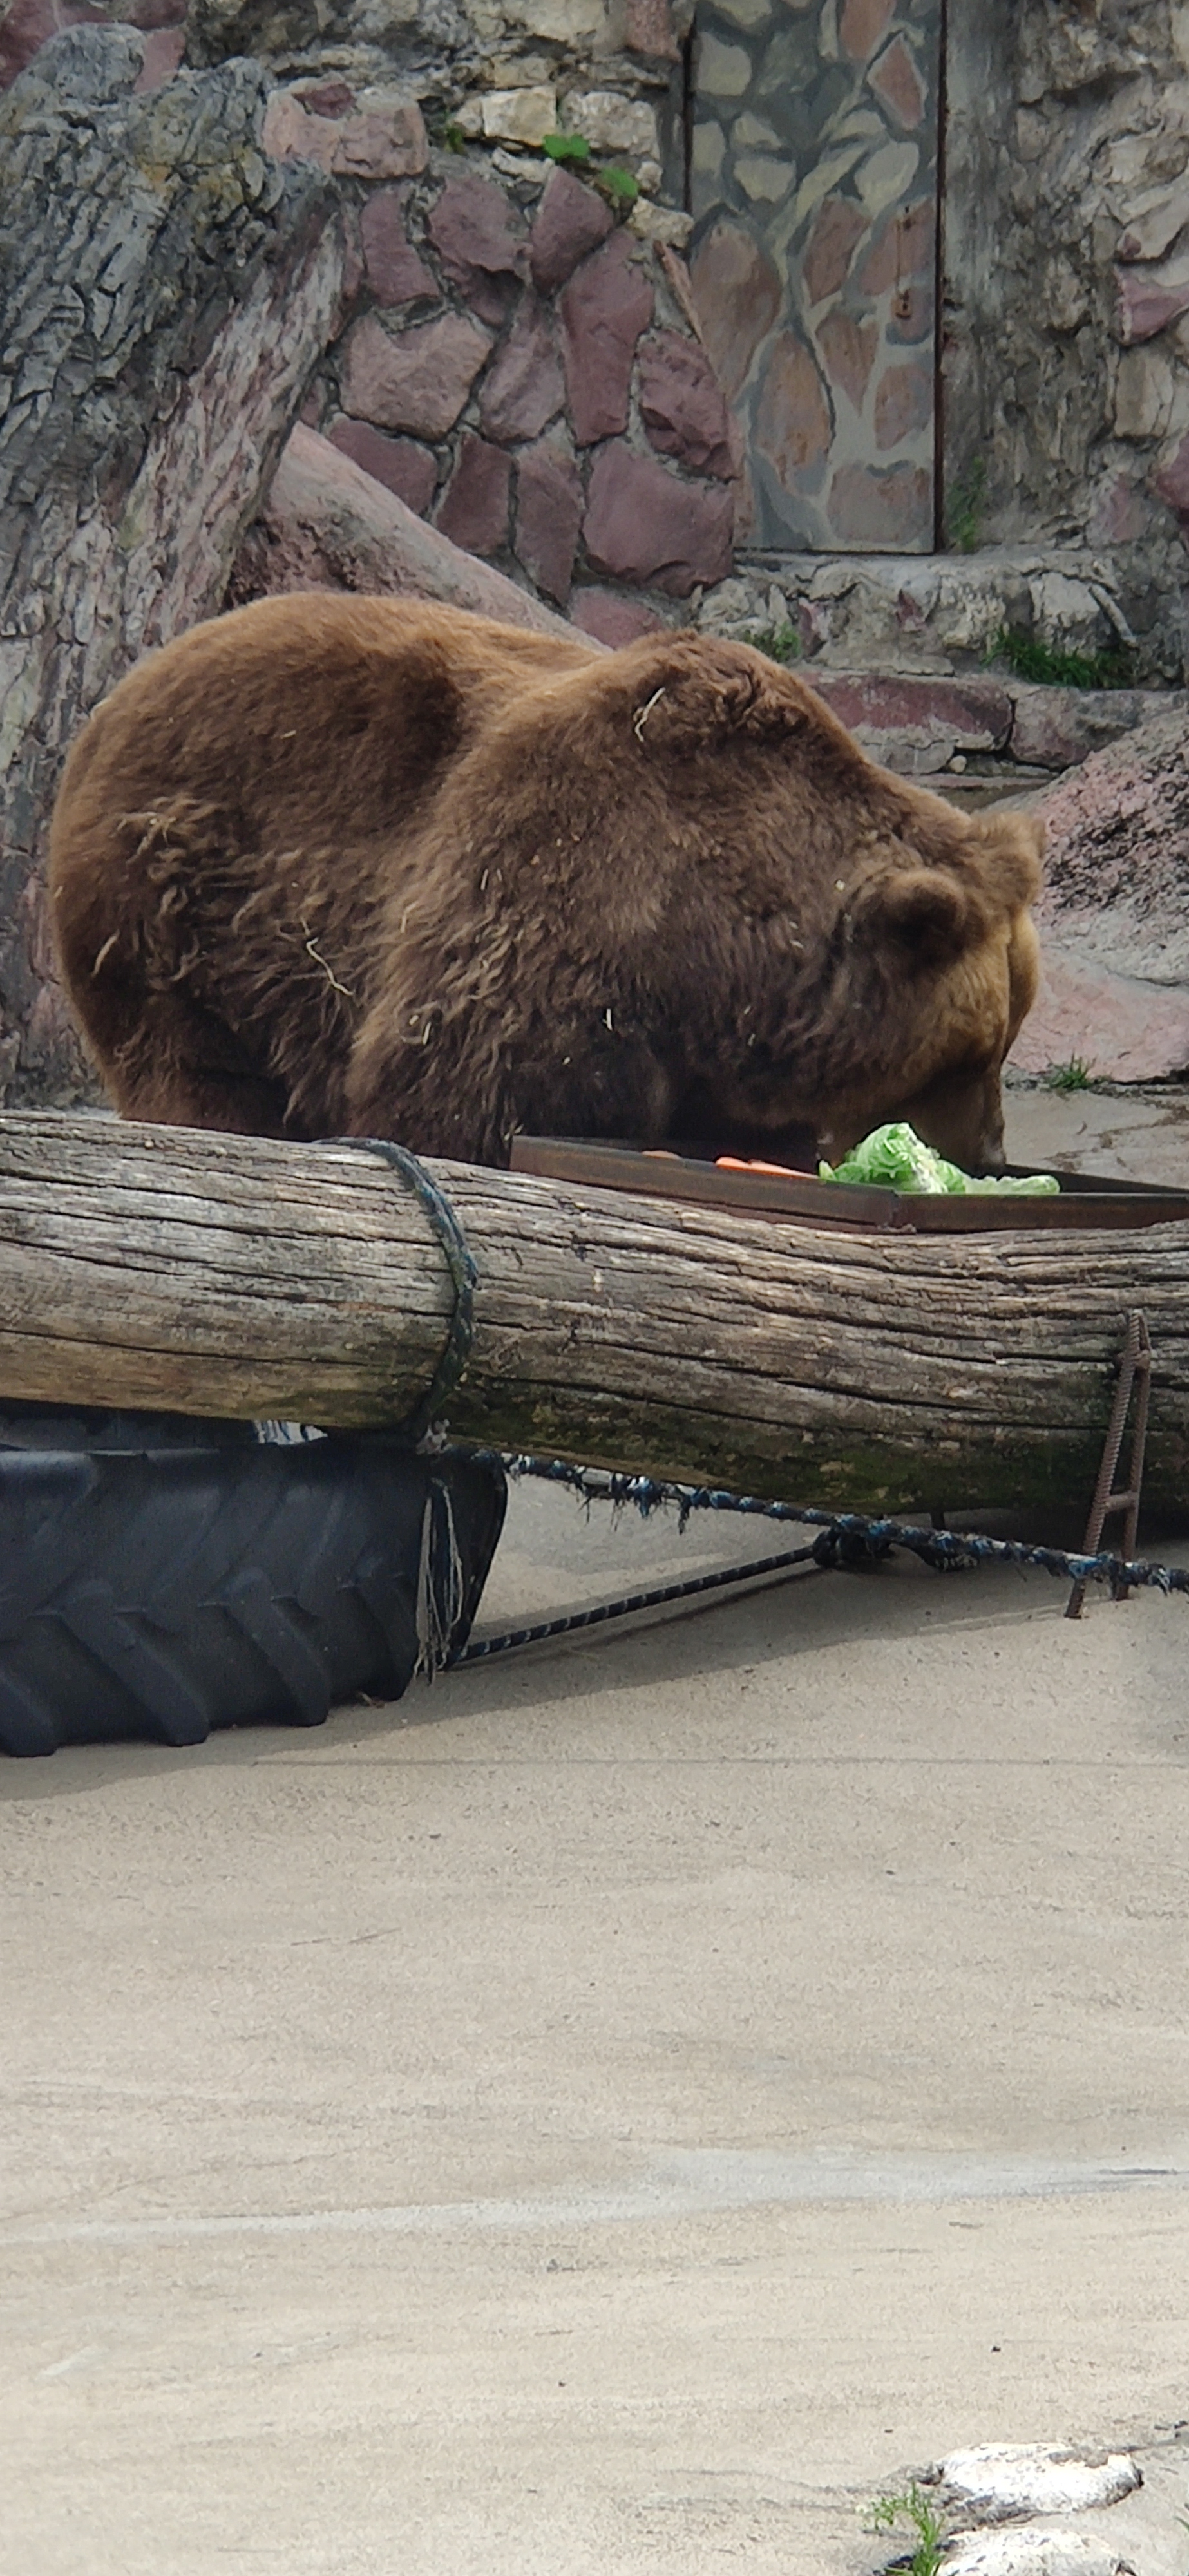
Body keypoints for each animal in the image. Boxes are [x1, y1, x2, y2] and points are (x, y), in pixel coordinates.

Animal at [48, 592, 1040, 1170]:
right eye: (969, 1055)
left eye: (1003, 1040)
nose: (991, 1150)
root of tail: (119, 694)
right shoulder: (555, 898)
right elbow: (466, 1092)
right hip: (181, 908)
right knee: (200, 1068)